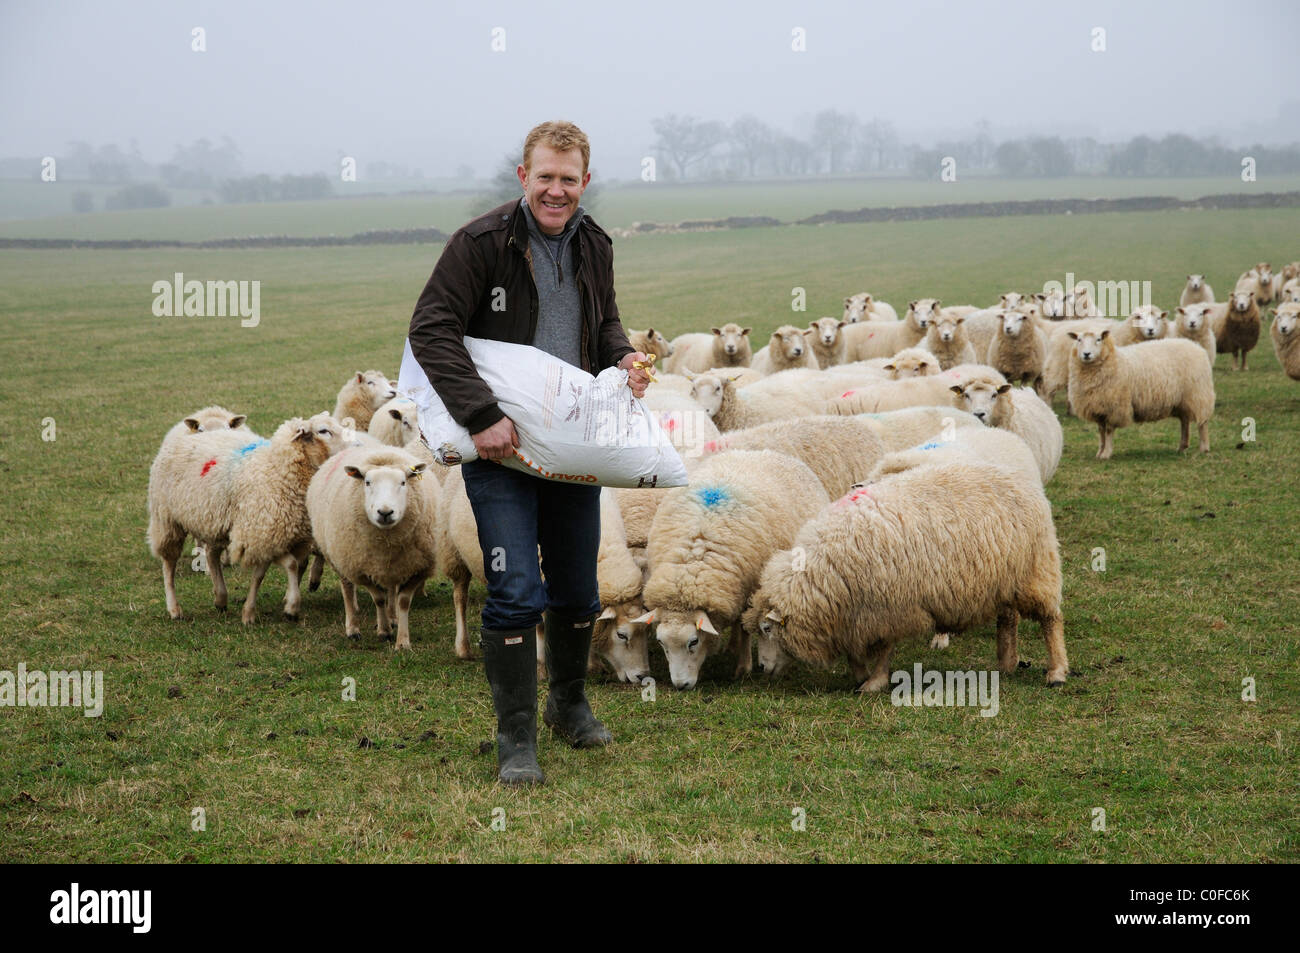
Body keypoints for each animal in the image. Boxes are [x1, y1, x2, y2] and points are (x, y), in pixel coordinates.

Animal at [306, 442, 439, 650]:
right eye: (367, 482)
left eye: (403, 482)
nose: (385, 512)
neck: (386, 542)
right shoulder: (361, 569)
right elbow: (378, 598)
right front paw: (384, 631)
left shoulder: (417, 568)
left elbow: (402, 601)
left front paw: (402, 641)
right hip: (342, 557)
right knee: (348, 589)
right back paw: (353, 628)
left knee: (391, 589)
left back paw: (392, 618)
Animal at [634, 449, 826, 686]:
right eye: (661, 643)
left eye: (693, 642)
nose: (680, 685)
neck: (692, 566)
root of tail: (766, 452)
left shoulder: (749, 591)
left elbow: (744, 627)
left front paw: (743, 668)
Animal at [748, 457, 1071, 686]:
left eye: (767, 629)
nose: (761, 667)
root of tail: (1019, 477)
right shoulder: (855, 612)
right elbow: (854, 649)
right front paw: (860, 675)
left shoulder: (889, 608)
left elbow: (884, 649)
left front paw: (874, 681)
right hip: (1005, 576)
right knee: (1008, 618)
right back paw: (1006, 663)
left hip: (1037, 569)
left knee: (1050, 619)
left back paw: (1056, 672)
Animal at [1071, 325, 1211, 460]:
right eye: (1079, 340)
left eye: (1099, 339)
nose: (1086, 354)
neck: (1114, 360)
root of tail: (1196, 346)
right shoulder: (1098, 408)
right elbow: (1101, 431)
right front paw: (1100, 452)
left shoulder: (1114, 407)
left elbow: (1109, 431)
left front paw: (1106, 454)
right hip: (1183, 400)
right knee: (1184, 421)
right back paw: (1182, 446)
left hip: (1199, 394)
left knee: (1202, 423)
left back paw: (1204, 448)